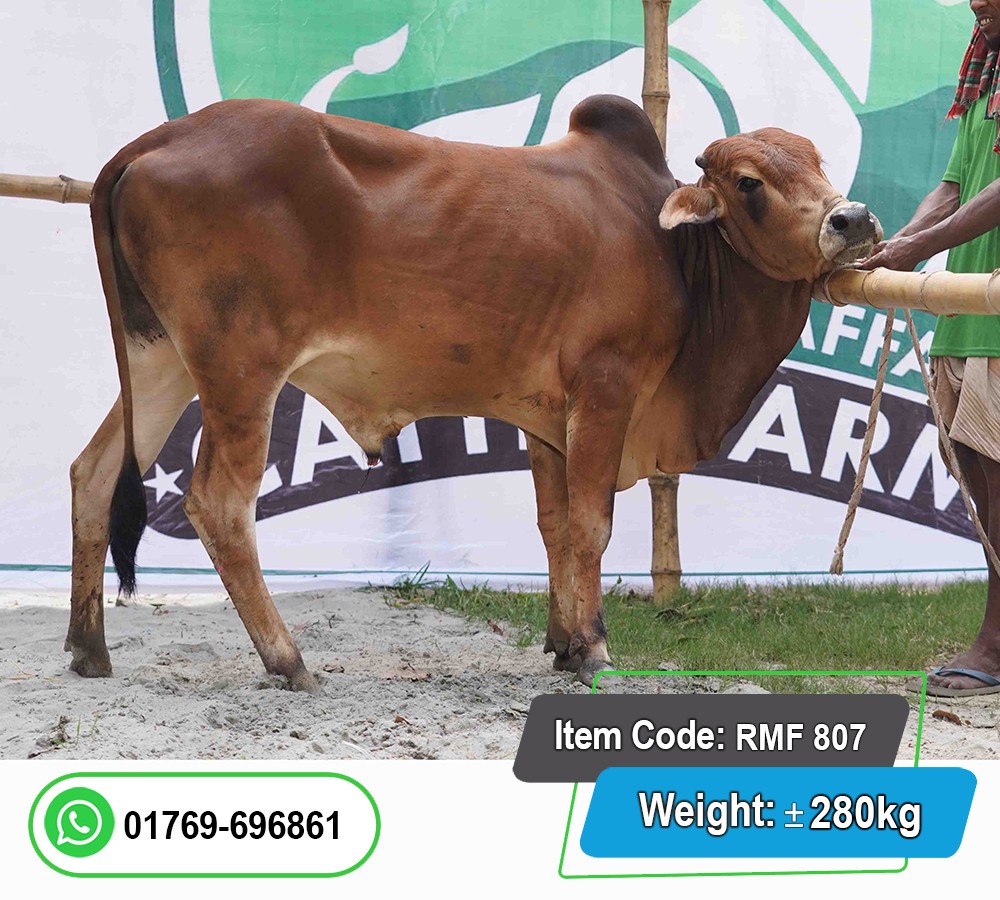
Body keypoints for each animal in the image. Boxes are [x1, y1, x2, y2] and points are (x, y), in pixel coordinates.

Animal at [67, 95, 880, 691]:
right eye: (749, 183)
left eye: (816, 160)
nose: (852, 218)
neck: (678, 255)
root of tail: (152, 143)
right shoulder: (606, 389)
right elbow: (591, 525)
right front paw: (594, 649)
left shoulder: (546, 416)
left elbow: (556, 526)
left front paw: (563, 639)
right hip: (240, 372)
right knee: (219, 504)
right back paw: (287, 660)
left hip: (160, 361)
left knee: (95, 471)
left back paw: (88, 647)